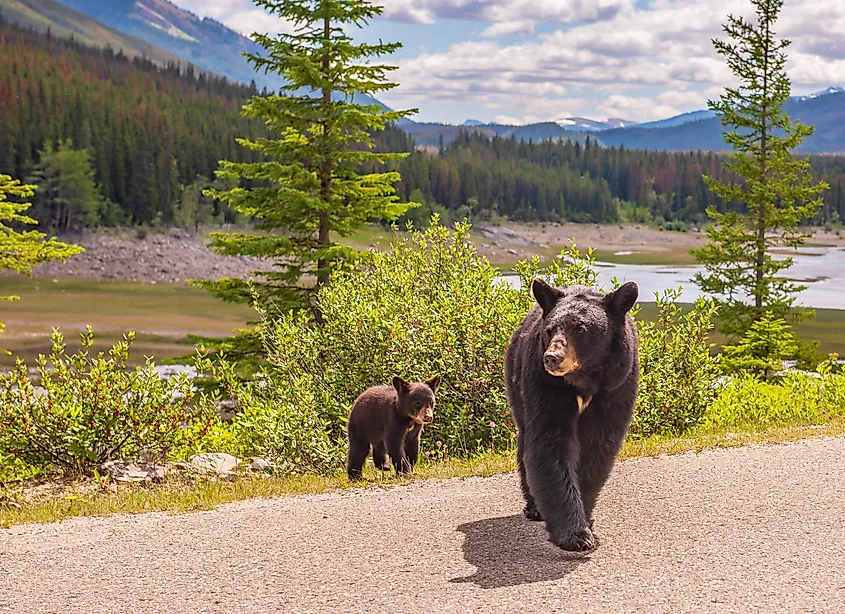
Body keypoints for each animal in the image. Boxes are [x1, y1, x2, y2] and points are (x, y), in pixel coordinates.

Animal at [504, 280, 636, 552]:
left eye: (581, 328)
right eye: (550, 329)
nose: (552, 358)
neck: (584, 379)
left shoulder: (616, 385)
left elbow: (597, 447)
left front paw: (585, 518)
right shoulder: (546, 384)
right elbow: (551, 443)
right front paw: (575, 534)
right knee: (525, 438)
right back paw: (534, 507)